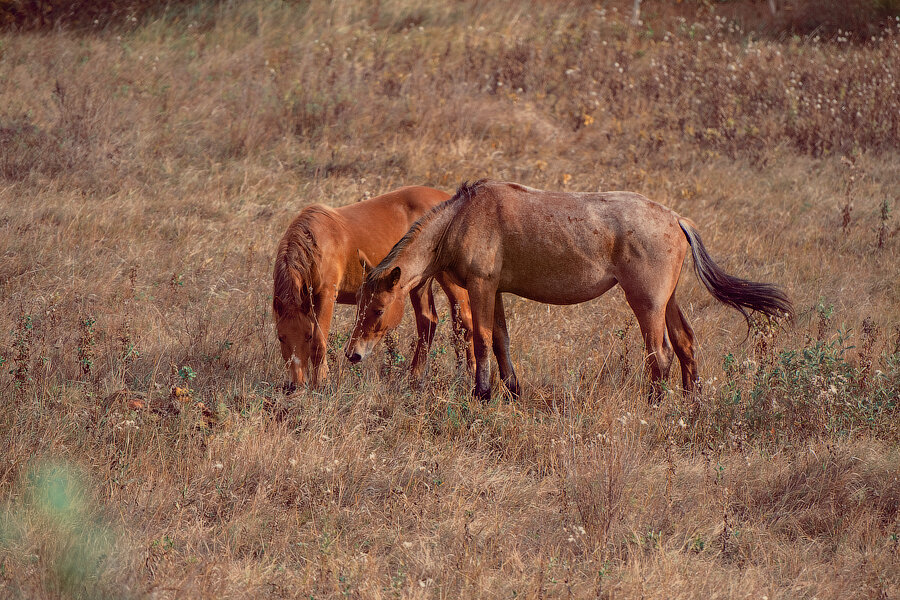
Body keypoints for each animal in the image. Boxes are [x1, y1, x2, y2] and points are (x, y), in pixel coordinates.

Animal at [272, 186, 472, 390]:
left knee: (464, 322)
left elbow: (319, 342)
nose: (295, 384)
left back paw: (467, 376)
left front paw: (321, 383)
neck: (316, 244)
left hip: (447, 279)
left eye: (307, 337)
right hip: (419, 283)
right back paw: (415, 378)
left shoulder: (326, 296)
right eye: (280, 337)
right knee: (428, 322)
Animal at [346, 180, 796, 400]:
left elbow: (481, 340)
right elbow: (502, 340)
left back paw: (655, 405)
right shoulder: (497, 291)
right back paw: (691, 404)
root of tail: (676, 218)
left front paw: (482, 394)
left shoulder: (481, 287)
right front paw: (512, 392)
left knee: (661, 355)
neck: (463, 217)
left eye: (377, 310)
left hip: (646, 303)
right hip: (667, 302)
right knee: (685, 344)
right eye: (360, 306)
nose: (353, 354)